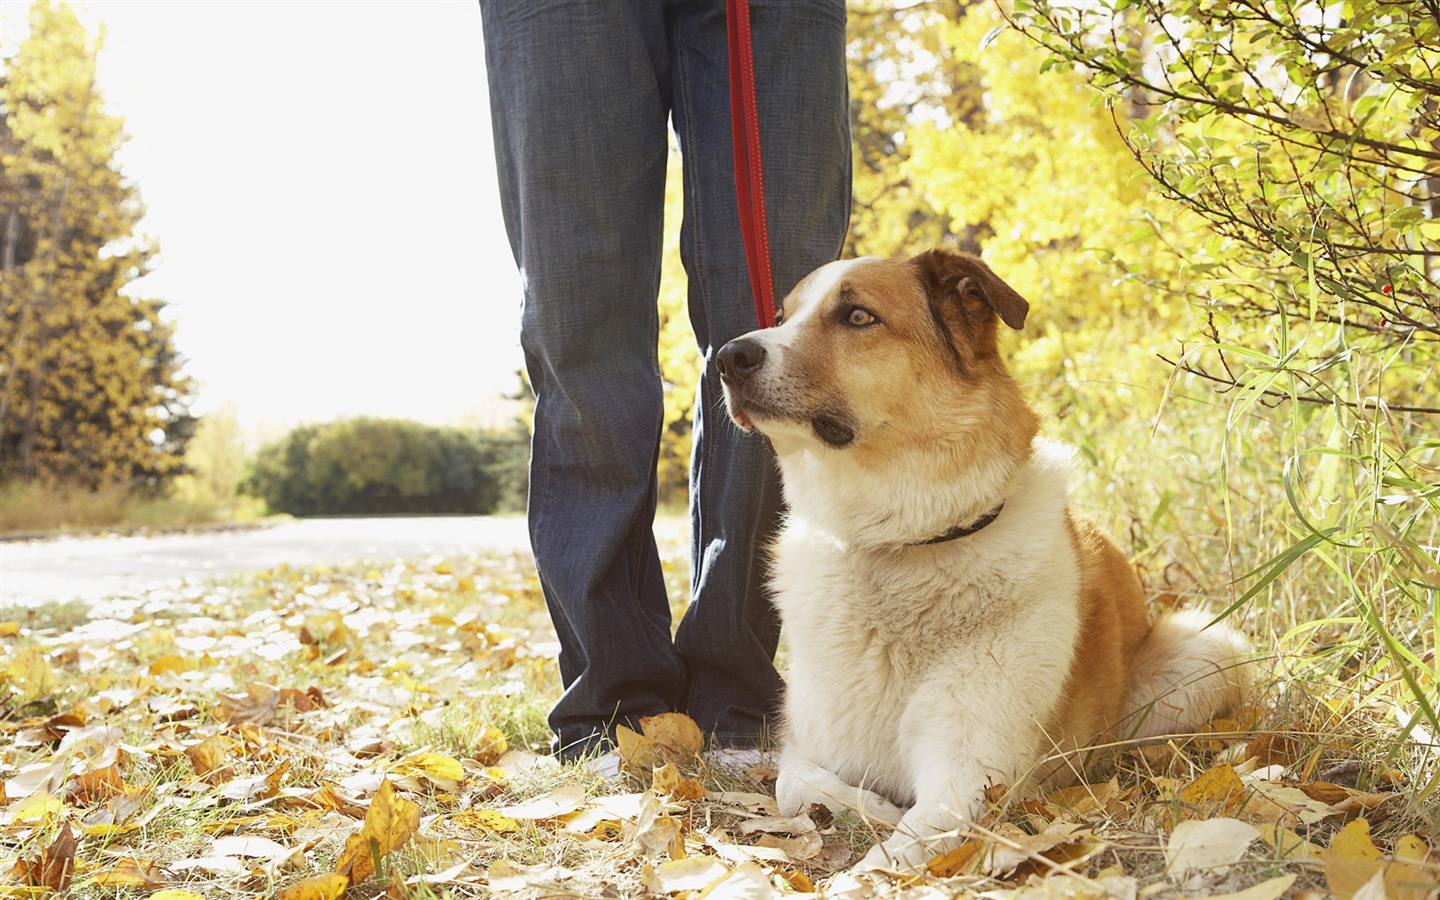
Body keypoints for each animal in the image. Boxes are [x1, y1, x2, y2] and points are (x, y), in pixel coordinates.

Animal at [717, 249, 1249, 869]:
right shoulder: (807, 744)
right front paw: (873, 808)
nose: (728, 357)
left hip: (1209, 650)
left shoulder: (968, 778)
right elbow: (791, 784)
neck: (900, 549)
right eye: (783, 316)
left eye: (857, 316)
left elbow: (889, 860)